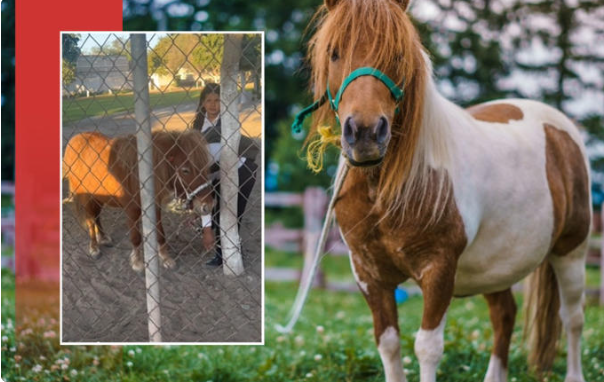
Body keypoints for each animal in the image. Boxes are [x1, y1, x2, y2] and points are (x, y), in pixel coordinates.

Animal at [63, 131, 215, 272]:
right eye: (185, 170)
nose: (208, 205)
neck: (140, 176)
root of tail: (75, 139)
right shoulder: (132, 210)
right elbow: (136, 237)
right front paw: (137, 263)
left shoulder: (155, 207)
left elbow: (160, 233)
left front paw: (165, 258)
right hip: (86, 198)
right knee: (90, 220)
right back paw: (94, 247)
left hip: (98, 197)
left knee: (96, 216)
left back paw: (103, 238)